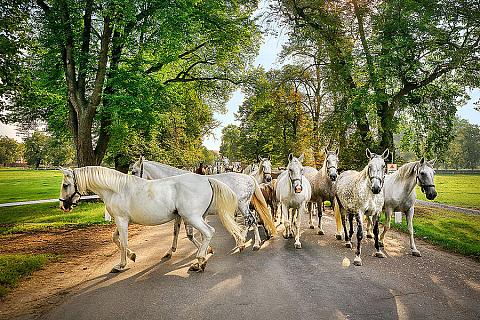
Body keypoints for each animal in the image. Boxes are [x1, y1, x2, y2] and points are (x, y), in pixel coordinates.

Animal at [59, 165, 246, 272]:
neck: (116, 189)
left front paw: (121, 265)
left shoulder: (121, 220)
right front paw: (132, 256)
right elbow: (115, 238)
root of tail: (207, 179)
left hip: (192, 217)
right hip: (197, 217)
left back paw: (200, 261)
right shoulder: (123, 221)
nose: (64, 206)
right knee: (202, 234)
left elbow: (123, 242)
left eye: (65, 185)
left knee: (209, 232)